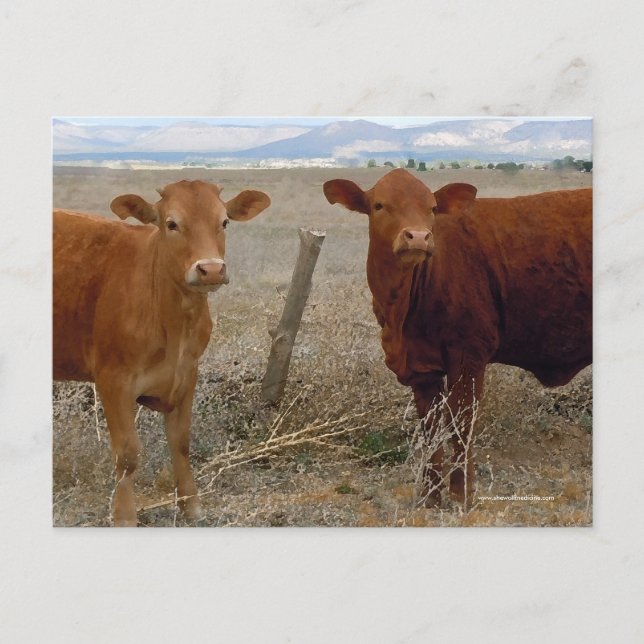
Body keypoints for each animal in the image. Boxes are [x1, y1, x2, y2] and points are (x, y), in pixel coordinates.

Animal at [53, 179, 271, 526]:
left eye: (224, 222)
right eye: (171, 224)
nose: (211, 269)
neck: (175, 325)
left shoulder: (187, 373)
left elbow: (181, 441)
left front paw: (191, 506)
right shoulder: (113, 380)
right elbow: (127, 453)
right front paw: (125, 516)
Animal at [323, 169, 592, 508]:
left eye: (432, 208)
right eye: (379, 205)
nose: (418, 236)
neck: (401, 311)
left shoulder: (468, 354)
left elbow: (462, 424)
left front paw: (460, 495)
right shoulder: (422, 368)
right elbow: (431, 428)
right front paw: (430, 496)